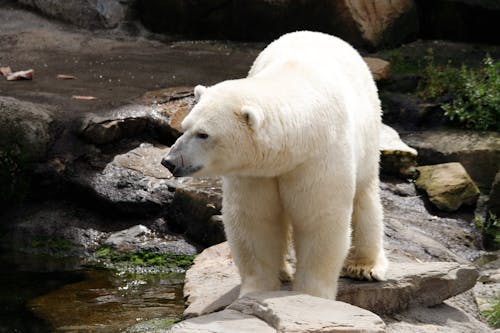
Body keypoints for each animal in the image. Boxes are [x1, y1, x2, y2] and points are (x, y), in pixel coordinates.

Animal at [162, 29, 388, 296]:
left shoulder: (320, 156)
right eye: (184, 127)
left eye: (203, 134)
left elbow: (319, 220)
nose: (169, 161)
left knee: (364, 195)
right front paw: (256, 291)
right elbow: (255, 220)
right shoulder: (255, 171)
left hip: (369, 132)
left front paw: (310, 294)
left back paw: (365, 266)